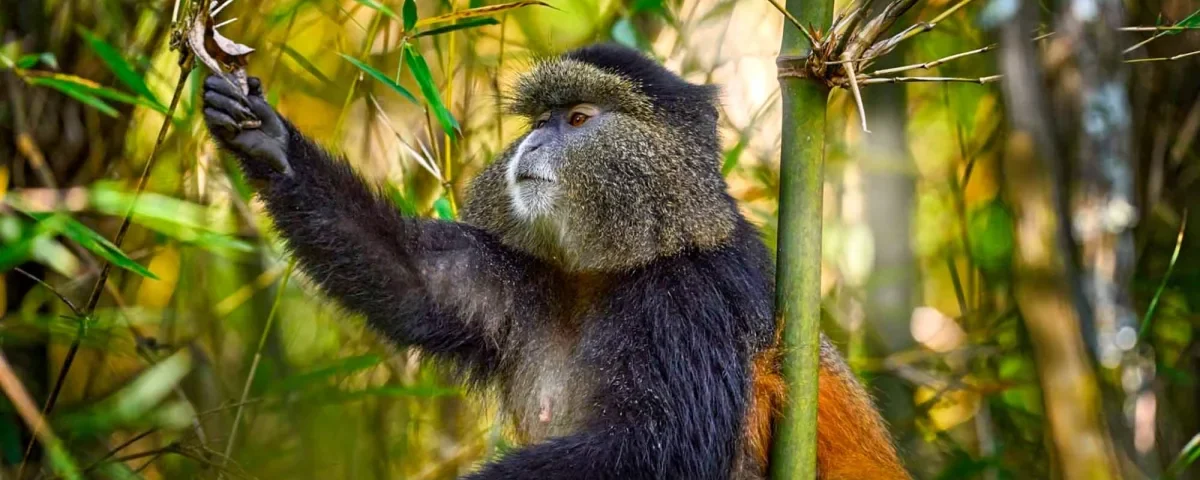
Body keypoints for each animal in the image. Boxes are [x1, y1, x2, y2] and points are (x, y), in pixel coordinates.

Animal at [202, 43, 907, 479]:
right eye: (541, 118)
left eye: (577, 118)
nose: (535, 140)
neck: (612, 270)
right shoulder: (525, 278)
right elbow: (416, 281)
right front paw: (267, 140)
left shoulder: (696, 297)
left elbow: (660, 444)